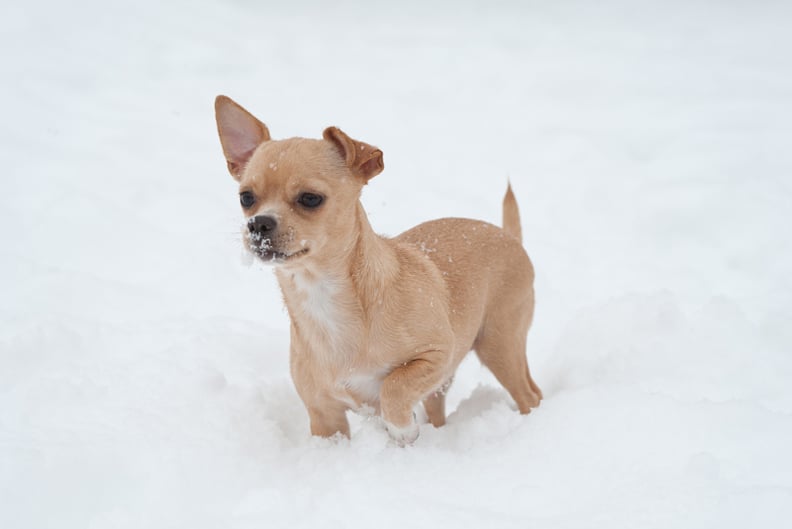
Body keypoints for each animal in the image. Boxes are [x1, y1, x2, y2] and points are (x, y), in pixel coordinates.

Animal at [213, 95, 540, 442]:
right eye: (246, 197)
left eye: (310, 198)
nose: (258, 224)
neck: (323, 297)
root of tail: (508, 235)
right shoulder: (325, 418)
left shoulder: (437, 354)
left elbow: (394, 387)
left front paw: (402, 429)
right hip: (454, 376)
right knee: (439, 409)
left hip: (499, 344)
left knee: (530, 394)